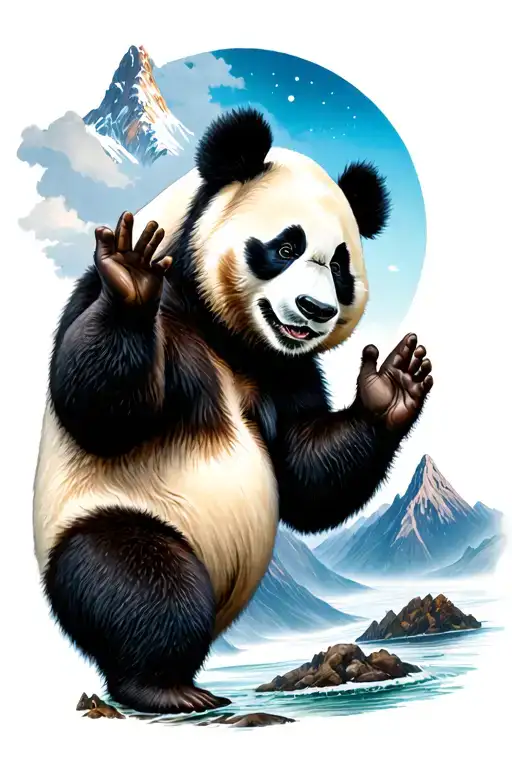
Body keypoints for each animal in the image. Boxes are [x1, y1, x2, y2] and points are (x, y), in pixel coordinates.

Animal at [33, 107, 433, 716]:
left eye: (340, 267)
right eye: (286, 247)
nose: (315, 310)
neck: (229, 338)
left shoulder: (288, 369)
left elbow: (305, 476)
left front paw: (392, 387)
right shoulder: (139, 307)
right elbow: (98, 409)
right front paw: (131, 275)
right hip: (107, 514)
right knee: (141, 585)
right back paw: (164, 686)